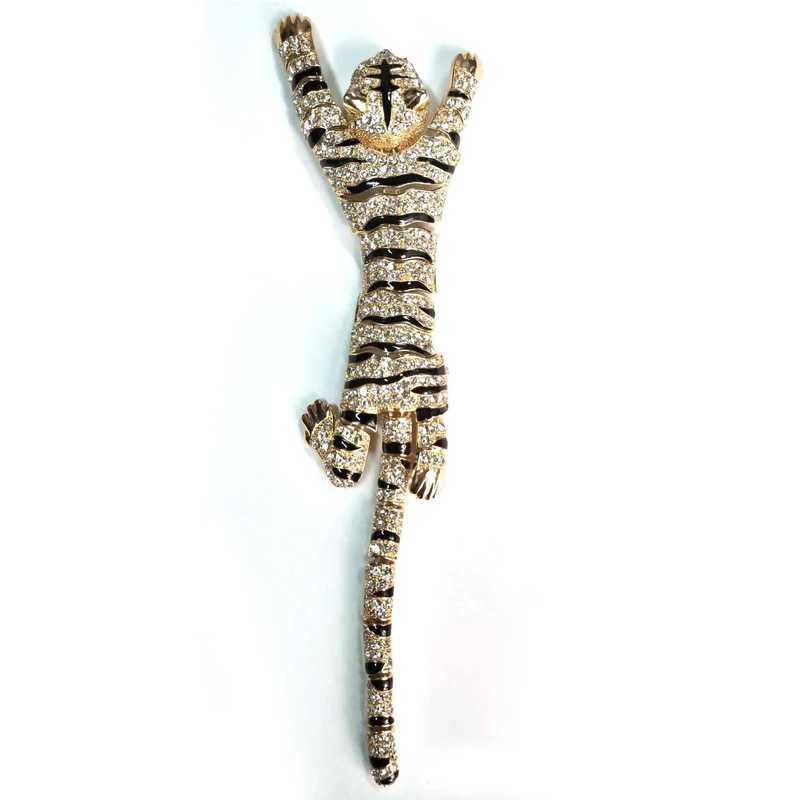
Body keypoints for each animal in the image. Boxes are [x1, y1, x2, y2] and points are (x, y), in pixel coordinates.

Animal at [275, 15, 481, 786]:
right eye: (376, 74)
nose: (388, 52)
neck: (391, 142)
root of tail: (393, 403)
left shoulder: (423, 152)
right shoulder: (374, 150)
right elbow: (318, 98)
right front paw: (297, 30)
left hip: (416, 381)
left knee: (362, 461)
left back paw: (405, 462)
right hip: (385, 387)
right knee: (353, 462)